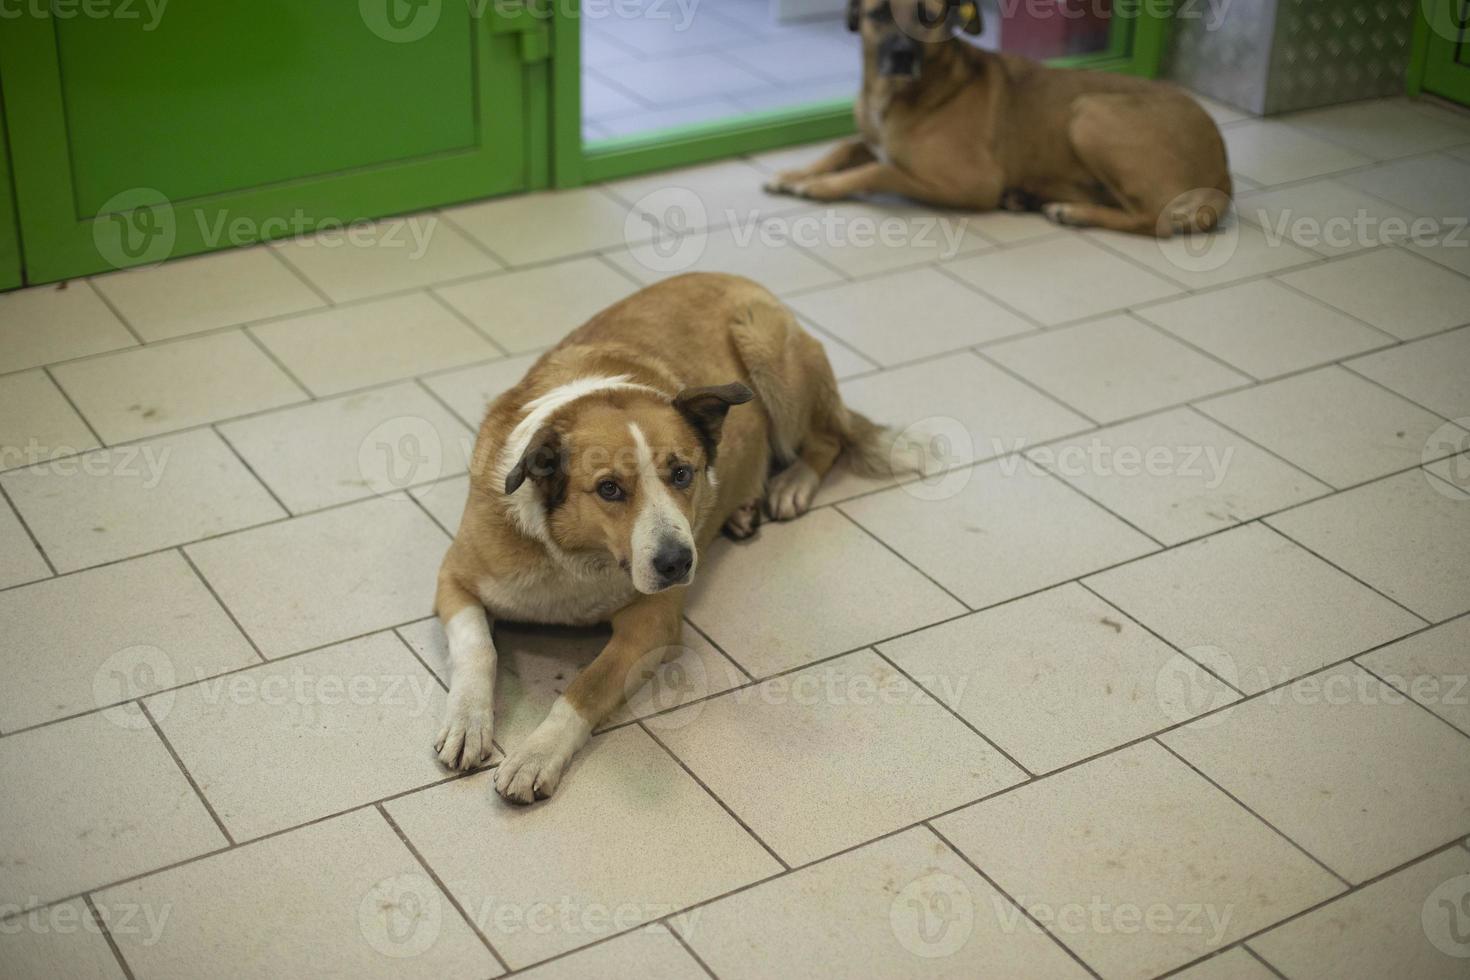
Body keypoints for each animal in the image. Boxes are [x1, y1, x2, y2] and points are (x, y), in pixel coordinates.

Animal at [426, 271, 905, 799]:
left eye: (682, 473)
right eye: (609, 488)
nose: (677, 563)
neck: (576, 558)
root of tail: (736, 278)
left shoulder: (652, 624)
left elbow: (586, 686)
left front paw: (537, 754)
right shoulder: (455, 577)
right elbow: (478, 649)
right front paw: (468, 722)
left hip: (765, 348)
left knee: (828, 439)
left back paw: (790, 485)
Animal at [764, 0, 1234, 238]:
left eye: (929, 15)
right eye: (878, 13)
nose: (900, 56)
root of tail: (1224, 170)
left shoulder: (973, 183)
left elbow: (880, 170)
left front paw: (819, 186)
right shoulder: (871, 137)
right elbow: (846, 146)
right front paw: (794, 173)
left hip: (1089, 112)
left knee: (1156, 220)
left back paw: (1071, 211)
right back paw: (1031, 197)